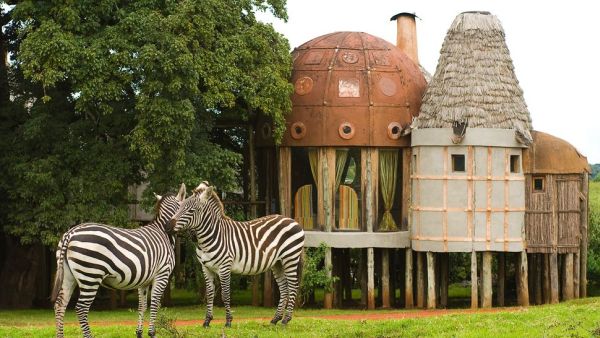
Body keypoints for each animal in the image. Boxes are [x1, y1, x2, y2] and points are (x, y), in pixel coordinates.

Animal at [52, 184, 186, 336]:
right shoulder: (162, 274)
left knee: (60, 305)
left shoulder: (144, 280)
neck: (163, 233)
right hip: (91, 275)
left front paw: (139, 332)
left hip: (68, 275)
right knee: (81, 308)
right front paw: (152, 333)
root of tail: (70, 233)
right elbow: (154, 304)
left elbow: (142, 306)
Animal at [170, 182, 304, 328]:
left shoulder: (224, 267)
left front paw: (228, 321)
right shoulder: (206, 268)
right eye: (179, 207)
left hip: (290, 258)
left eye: (191, 211)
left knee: (293, 287)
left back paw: (286, 320)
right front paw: (207, 321)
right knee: (284, 289)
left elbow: (225, 294)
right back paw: (275, 319)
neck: (210, 236)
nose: (168, 225)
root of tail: (292, 220)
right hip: (277, 263)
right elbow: (210, 294)